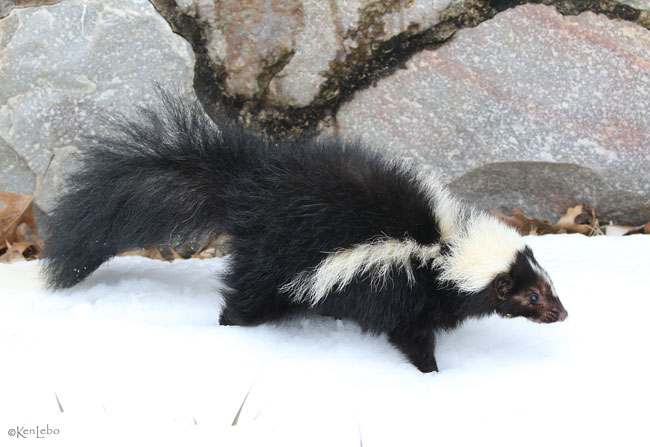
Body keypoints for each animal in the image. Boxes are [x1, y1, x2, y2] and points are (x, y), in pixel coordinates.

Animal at [44, 96, 568, 372]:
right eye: (531, 297)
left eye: (547, 285)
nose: (563, 315)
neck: (442, 247)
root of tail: (245, 188)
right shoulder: (402, 286)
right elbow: (410, 334)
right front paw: (431, 372)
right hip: (272, 259)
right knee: (248, 297)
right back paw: (227, 330)